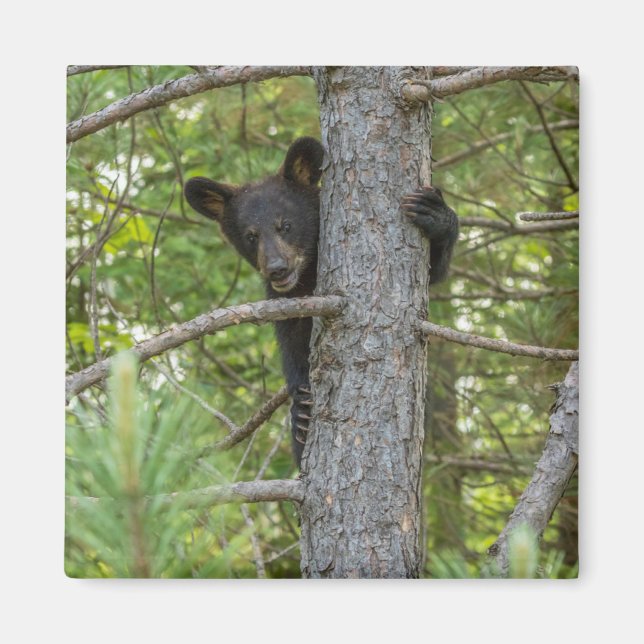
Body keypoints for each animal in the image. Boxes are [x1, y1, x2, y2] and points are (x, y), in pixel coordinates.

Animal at [184, 137, 459, 467]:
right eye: (251, 236)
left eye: (285, 225)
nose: (277, 268)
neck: (307, 275)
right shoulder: (286, 301)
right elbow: (292, 343)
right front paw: (300, 409)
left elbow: (434, 271)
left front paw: (435, 214)